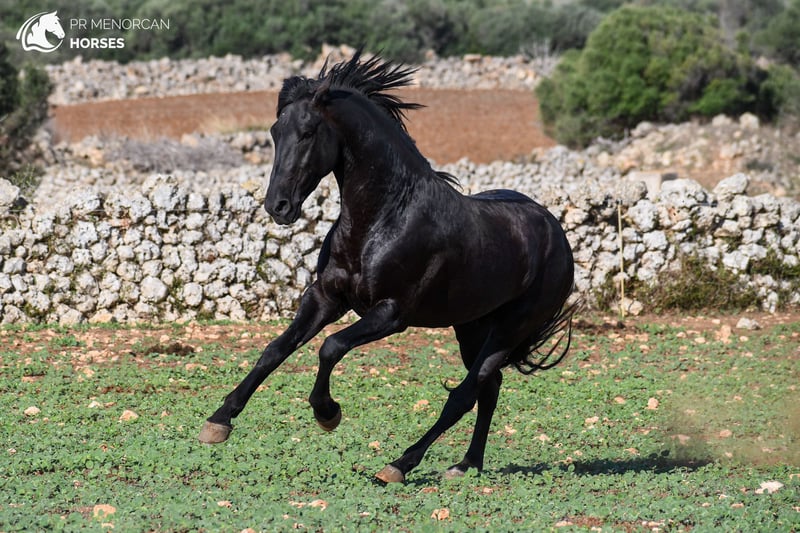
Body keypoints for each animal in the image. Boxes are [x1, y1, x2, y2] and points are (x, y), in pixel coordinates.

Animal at [199, 50, 577, 483]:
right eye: (276, 131)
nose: (278, 206)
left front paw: (327, 413)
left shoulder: (391, 314)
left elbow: (330, 347)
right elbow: (274, 349)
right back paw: (466, 464)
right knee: (490, 386)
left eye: (308, 132)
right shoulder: (325, 298)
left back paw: (399, 464)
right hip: (471, 328)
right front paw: (219, 421)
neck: (384, 218)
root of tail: (557, 234)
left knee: (466, 392)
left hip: (510, 328)